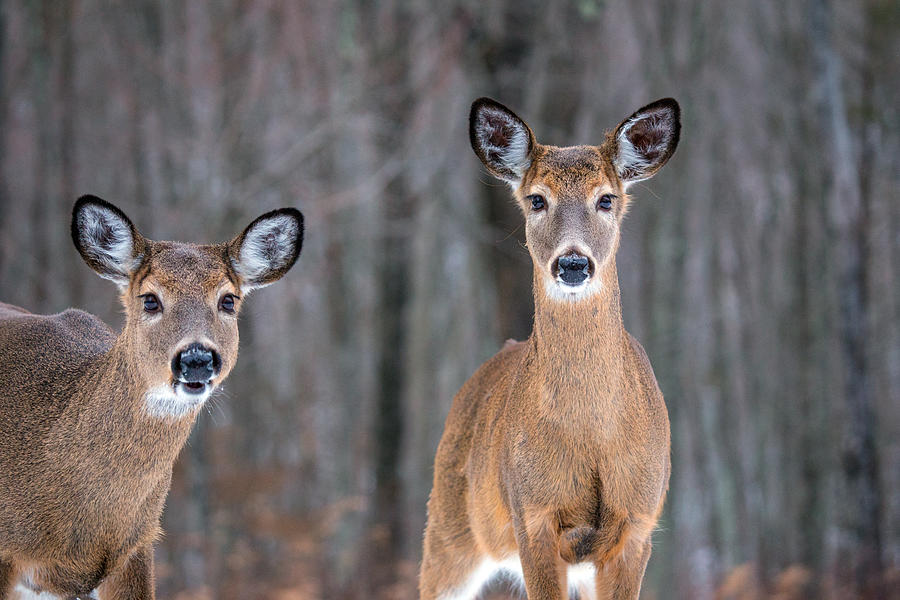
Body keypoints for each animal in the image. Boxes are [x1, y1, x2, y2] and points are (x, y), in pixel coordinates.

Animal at [422, 98, 684, 600]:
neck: (593, 435)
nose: (573, 263)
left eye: (607, 198)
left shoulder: (639, 523)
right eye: (537, 199)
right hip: (447, 527)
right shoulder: (533, 515)